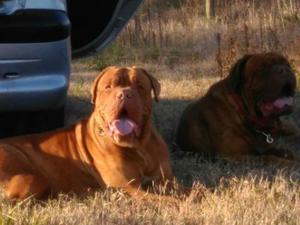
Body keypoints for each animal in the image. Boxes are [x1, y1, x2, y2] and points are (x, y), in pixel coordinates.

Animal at [0, 66, 183, 200]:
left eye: (140, 86)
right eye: (108, 87)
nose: (124, 94)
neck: (139, 147)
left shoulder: (167, 181)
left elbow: (188, 192)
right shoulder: (129, 188)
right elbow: (169, 201)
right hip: (30, 178)